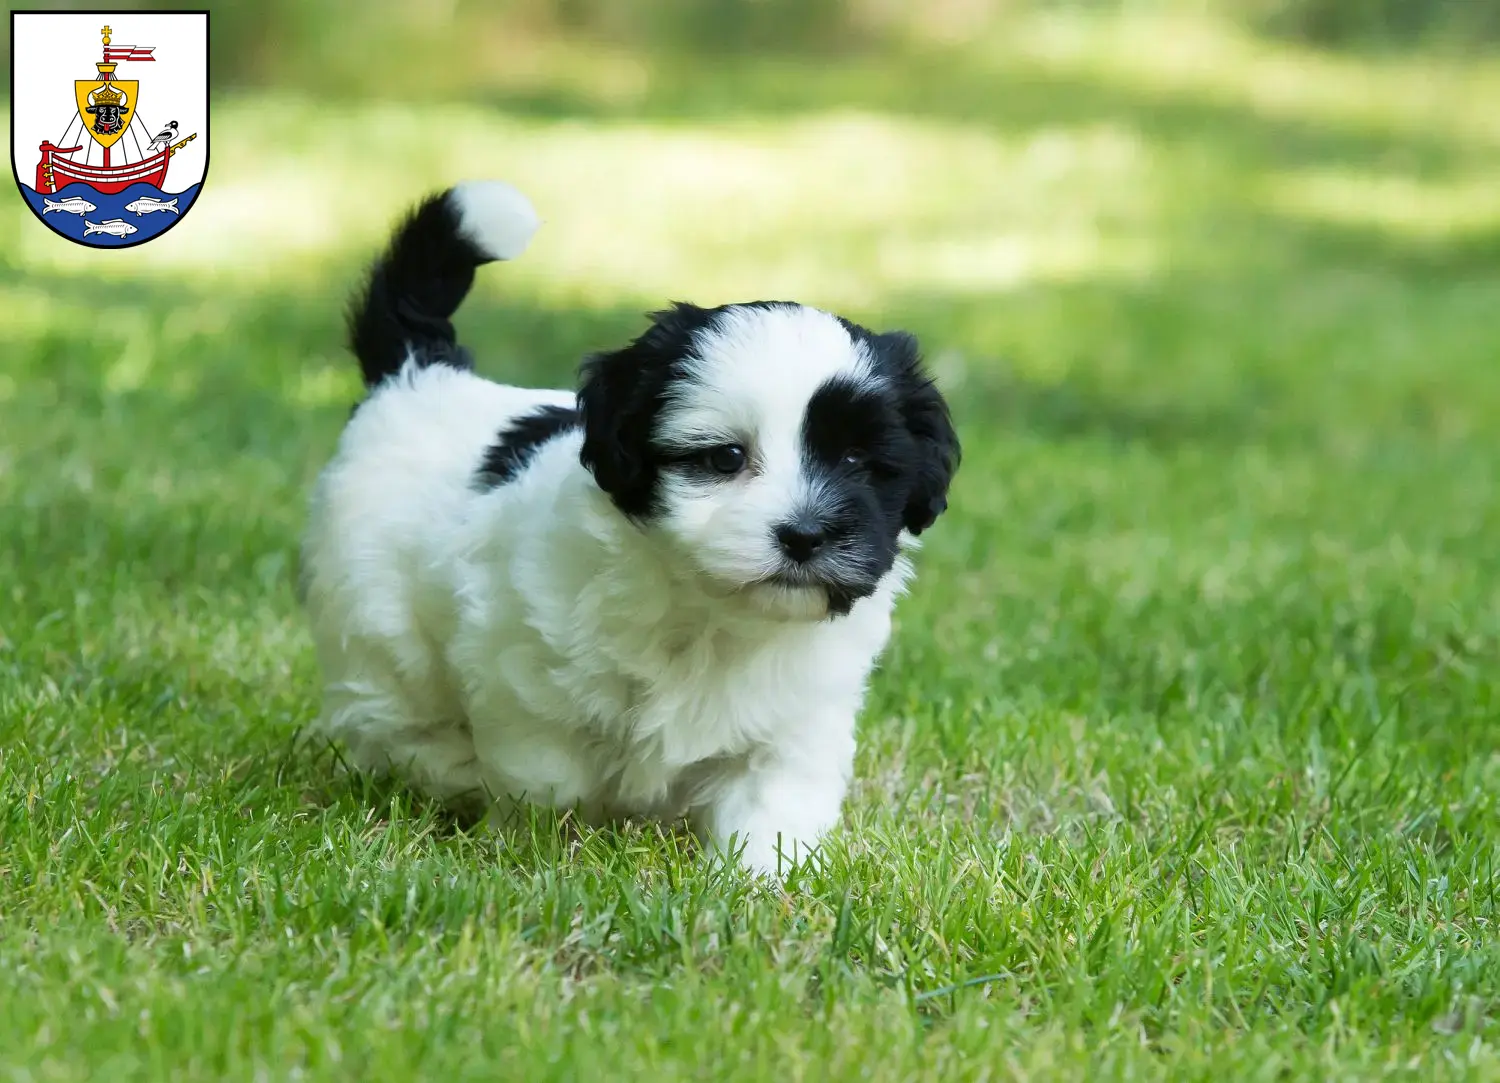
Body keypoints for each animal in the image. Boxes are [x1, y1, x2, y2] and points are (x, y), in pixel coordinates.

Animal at [301, 177, 960, 870]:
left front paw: (757, 883)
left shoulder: (794, 722)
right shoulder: (526, 685)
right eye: (725, 458)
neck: (712, 619)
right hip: (371, 617)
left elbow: (772, 805)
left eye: (857, 460)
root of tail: (419, 376)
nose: (805, 535)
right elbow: (547, 776)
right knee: (392, 708)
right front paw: (540, 846)